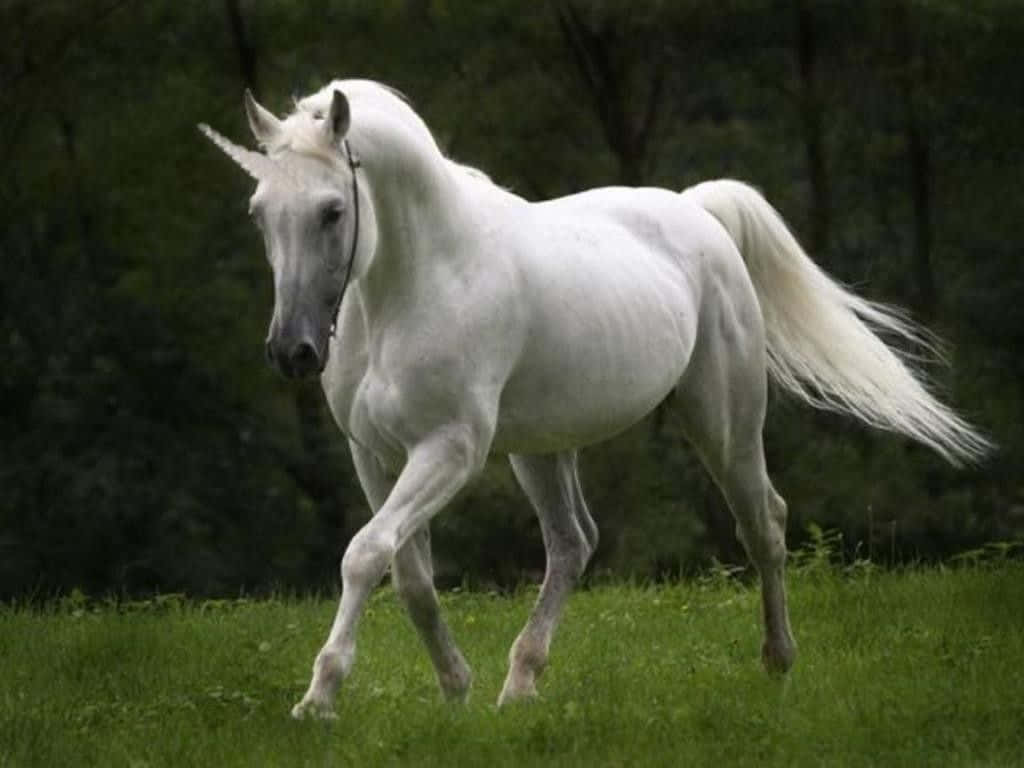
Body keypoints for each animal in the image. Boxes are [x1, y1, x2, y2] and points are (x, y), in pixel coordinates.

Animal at [199, 79, 989, 719]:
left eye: (333, 211)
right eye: (259, 211)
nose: (293, 351)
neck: (419, 280)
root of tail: (697, 212)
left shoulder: (450, 449)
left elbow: (365, 555)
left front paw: (320, 697)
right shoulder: (375, 456)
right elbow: (409, 573)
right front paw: (454, 689)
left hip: (722, 422)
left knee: (762, 524)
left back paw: (777, 665)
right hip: (542, 449)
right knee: (573, 543)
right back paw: (518, 686)